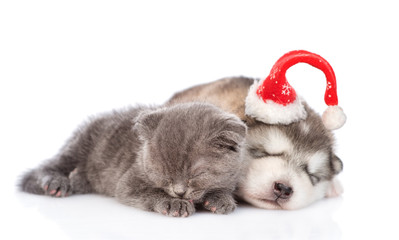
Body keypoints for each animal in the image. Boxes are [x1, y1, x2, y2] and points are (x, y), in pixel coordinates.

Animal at [21, 103, 248, 218]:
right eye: (164, 174)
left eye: (197, 174)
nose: (180, 192)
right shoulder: (127, 182)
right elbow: (149, 192)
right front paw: (174, 203)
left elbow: (223, 187)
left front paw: (221, 199)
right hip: (79, 145)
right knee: (48, 167)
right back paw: (56, 182)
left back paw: (77, 181)